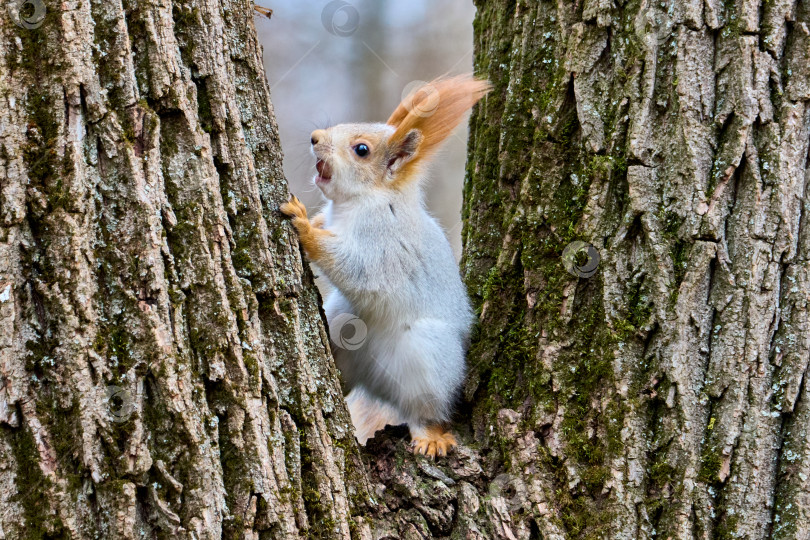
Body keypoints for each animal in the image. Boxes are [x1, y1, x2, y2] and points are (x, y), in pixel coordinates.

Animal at [280, 74, 490, 458]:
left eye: (361, 149)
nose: (315, 137)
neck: (362, 202)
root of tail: (375, 383)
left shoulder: (384, 243)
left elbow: (360, 271)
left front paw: (304, 227)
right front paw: (312, 222)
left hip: (428, 358)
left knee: (424, 409)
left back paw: (429, 434)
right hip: (343, 323)